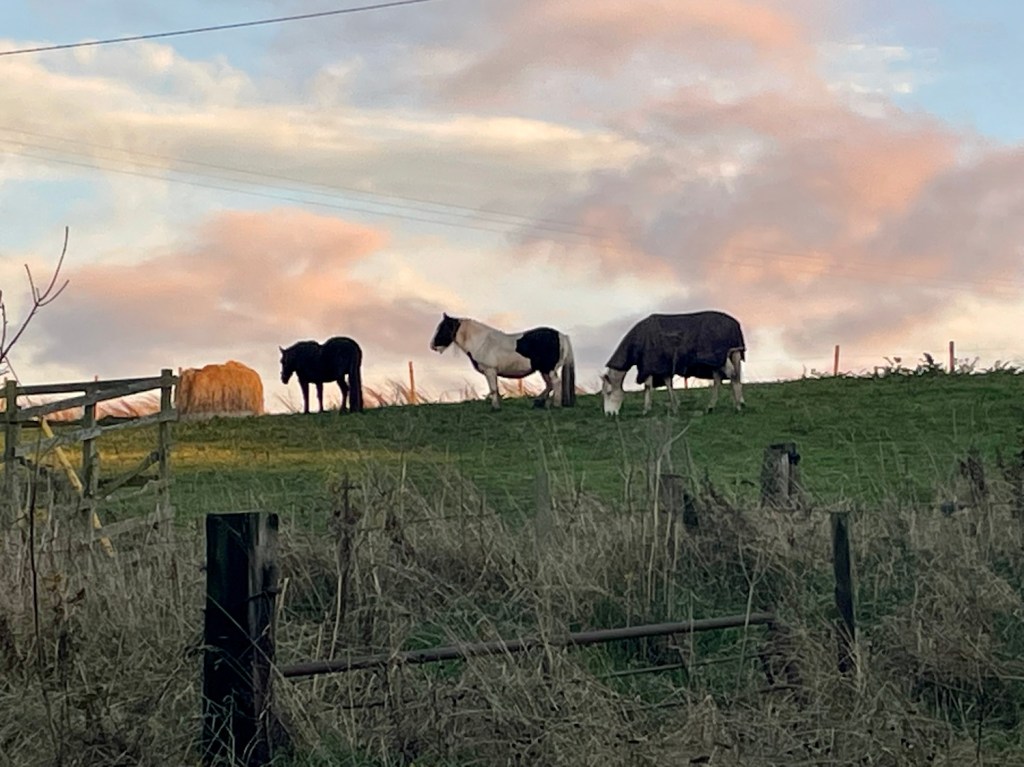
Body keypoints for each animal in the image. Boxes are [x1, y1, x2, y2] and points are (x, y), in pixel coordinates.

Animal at [429, 313, 576, 410]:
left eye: (442, 328)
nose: (432, 346)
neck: (482, 342)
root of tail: (561, 336)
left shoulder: (490, 370)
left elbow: (493, 388)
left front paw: (495, 407)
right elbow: (495, 389)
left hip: (548, 369)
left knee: (556, 383)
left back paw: (555, 404)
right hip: (543, 369)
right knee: (549, 384)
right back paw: (540, 402)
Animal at [600, 311, 746, 416]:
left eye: (608, 392)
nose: (609, 414)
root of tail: (734, 325)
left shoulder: (649, 365)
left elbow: (647, 386)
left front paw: (646, 409)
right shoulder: (662, 367)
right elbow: (667, 383)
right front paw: (675, 406)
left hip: (720, 357)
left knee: (732, 375)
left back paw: (737, 406)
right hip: (728, 356)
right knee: (724, 378)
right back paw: (720, 405)